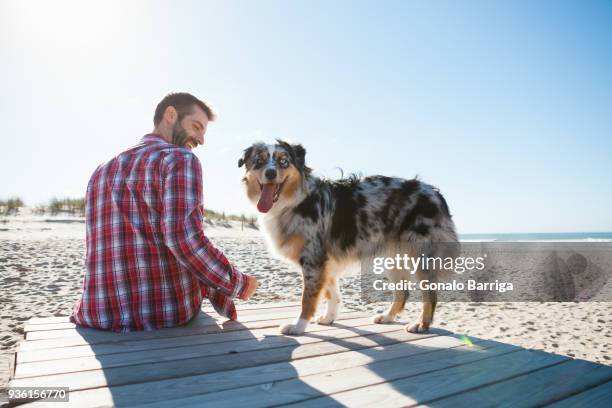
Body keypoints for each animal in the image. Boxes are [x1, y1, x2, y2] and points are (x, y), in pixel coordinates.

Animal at [239, 140, 460, 334]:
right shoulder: (325, 261)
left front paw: (298, 326)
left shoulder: (313, 259)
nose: (270, 172)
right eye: (259, 161)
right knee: (402, 292)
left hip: (420, 256)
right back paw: (387, 317)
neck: (295, 200)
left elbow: (308, 299)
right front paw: (329, 318)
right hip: (392, 258)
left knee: (429, 294)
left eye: (284, 161)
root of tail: (435, 193)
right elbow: (332, 293)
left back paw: (421, 324)